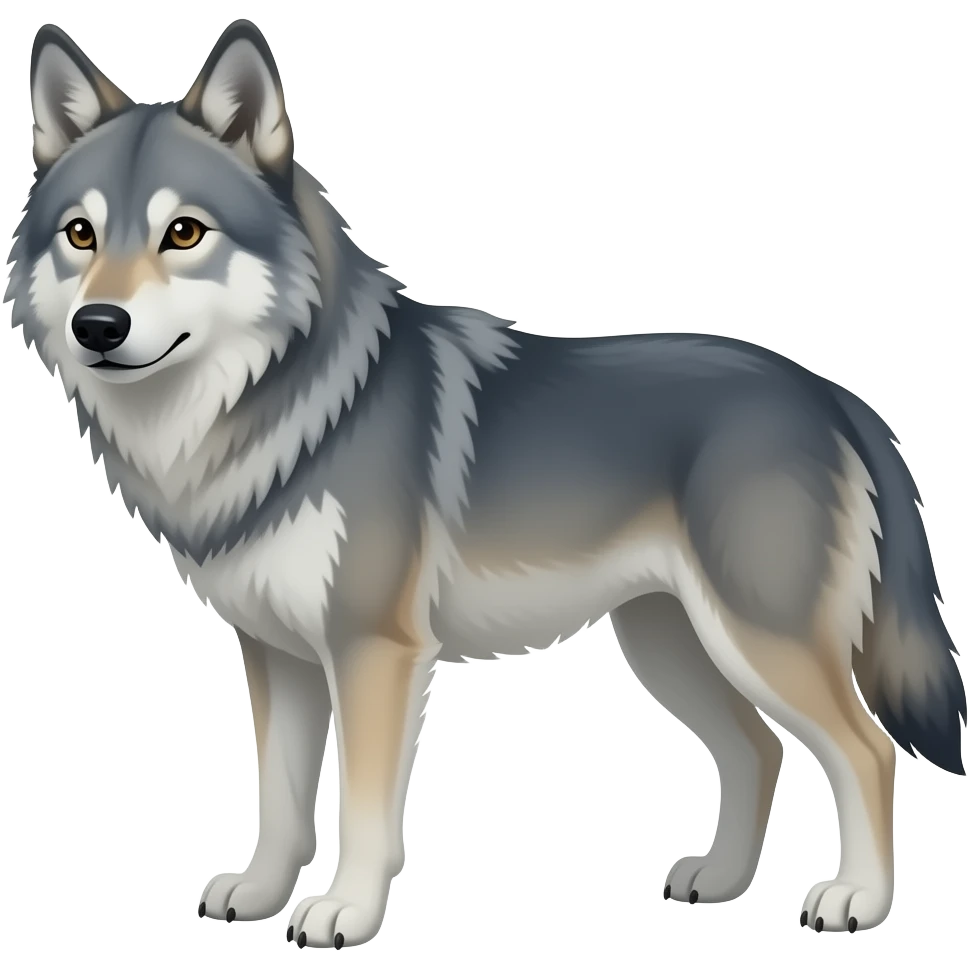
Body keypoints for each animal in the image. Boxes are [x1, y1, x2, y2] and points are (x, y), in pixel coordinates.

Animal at [6, 18, 965, 949]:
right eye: (81, 235)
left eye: (184, 233)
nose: (100, 325)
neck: (278, 413)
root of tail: (833, 395)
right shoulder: (277, 654)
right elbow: (279, 799)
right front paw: (261, 892)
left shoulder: (373, 651)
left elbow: (363, 812)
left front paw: (344, 913)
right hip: (671, 645)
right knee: (758, 752)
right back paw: (721, 882)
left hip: (757, 640)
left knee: (866, 751)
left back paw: (856, 901)